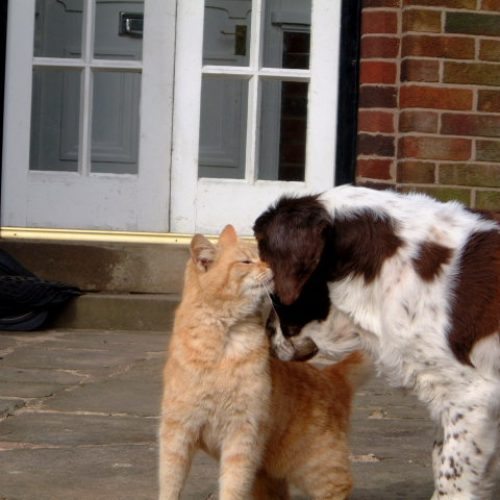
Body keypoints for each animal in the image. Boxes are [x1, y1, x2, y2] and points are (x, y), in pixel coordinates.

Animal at [159, 226, 368, 500]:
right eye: (246, 261)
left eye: (263, 257)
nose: (272, 267)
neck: (224, 339)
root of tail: (331, 376)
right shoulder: (178, 432)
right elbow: (170, 483)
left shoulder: (242, 435)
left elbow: (232, 486)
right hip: (268, 478)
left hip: (316, 465)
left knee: (341, 484)